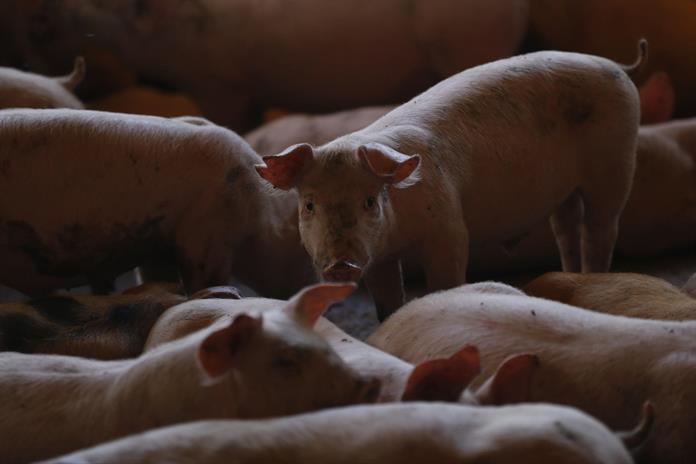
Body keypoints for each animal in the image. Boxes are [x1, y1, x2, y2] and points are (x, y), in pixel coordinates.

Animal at [256, 45, 645, 319]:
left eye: (369, 201)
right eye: (309, 205)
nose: (340, 264)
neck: (400, 235)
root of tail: (616, 66)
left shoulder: (448, 227)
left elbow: (446, 278)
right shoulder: (380, 256)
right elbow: (386, 302)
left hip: (616, 163)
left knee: (601, 229)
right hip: (564, 192)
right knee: (567, 229)